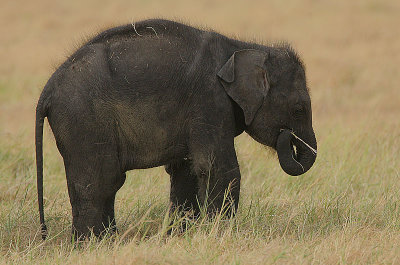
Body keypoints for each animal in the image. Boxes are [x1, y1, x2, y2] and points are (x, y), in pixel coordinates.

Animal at [36, 18, 318, 237]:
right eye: (299, 109)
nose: (287, 136)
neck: (243, 47)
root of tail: (46, 90)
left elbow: (187, 170)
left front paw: (180, 236)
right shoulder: (208, 100)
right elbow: (218, 168)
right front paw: (217, 234)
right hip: (85, 120)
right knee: (102, 180)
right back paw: (93, 244)